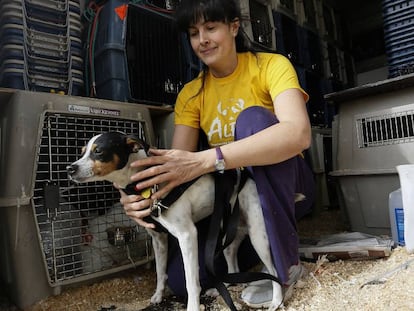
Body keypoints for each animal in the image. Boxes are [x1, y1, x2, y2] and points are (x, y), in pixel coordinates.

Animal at [66, 132, 284, 311]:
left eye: (98, 151)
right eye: (82, 152)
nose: (70, 168)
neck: (145, 182)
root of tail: (245, 175)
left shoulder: (187, 236)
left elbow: (191, 282)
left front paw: (193, 307)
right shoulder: (158, 239)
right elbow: (160, 272)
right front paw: (158, 296)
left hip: (258, 236)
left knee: (274, 271)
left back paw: (276, 301)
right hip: (226, 236)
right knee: (233, 267)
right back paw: (221, 288)